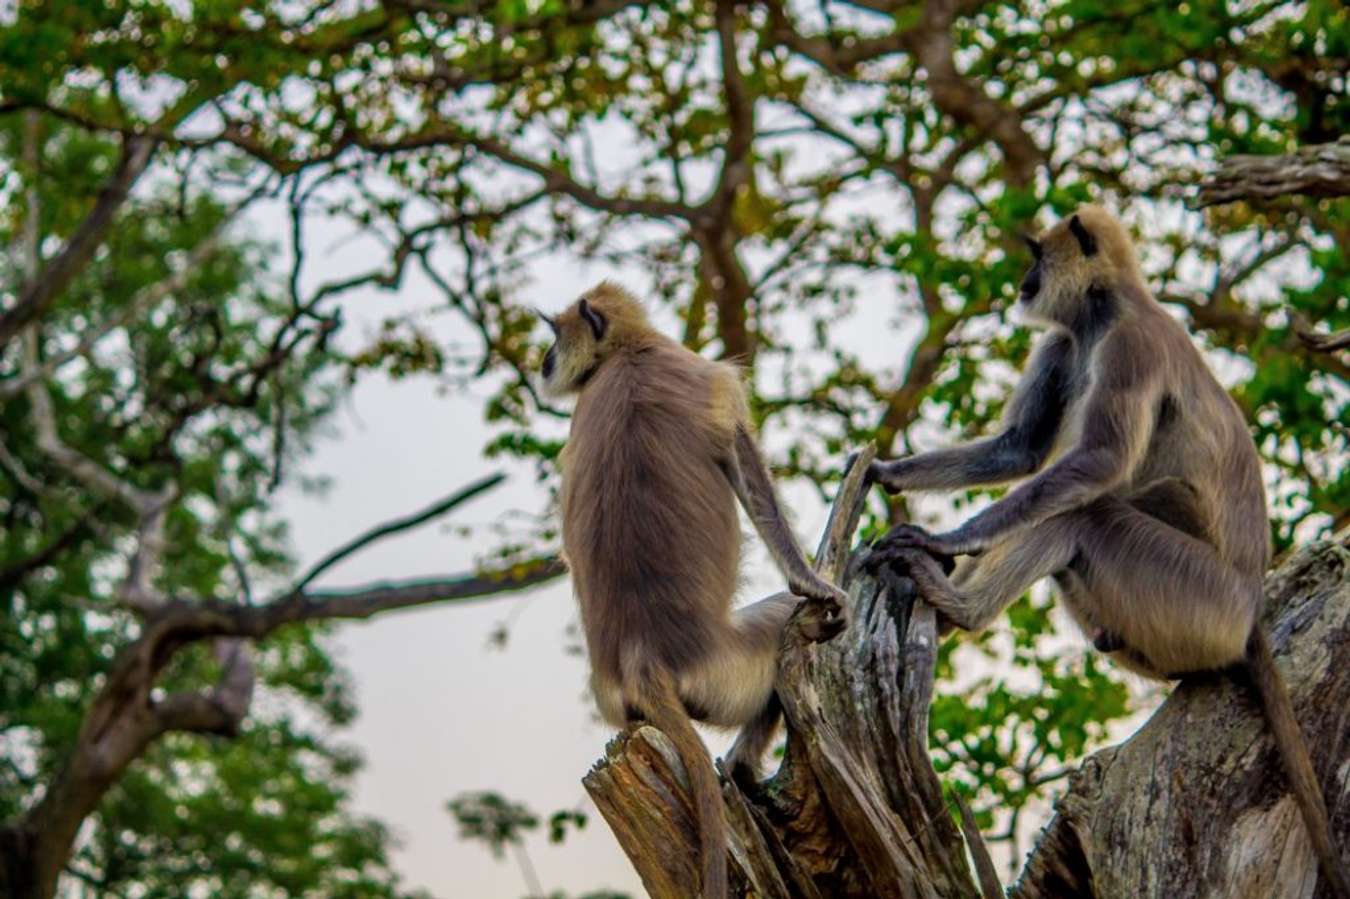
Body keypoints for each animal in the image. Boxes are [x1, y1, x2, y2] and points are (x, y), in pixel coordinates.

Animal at [537, 282, 842, 896]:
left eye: (555, 334)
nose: (544, 361)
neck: (629, 353)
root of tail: (645, 660)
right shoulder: (712, 378)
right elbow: (752, 480)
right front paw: (811, 580)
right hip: (731, 668)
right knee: (786, 634)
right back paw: (743, 769)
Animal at [864, 205, 1350, 896]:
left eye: (1037, 256)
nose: (1024, 283)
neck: (1107, 311)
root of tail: (1250, 611)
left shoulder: (1130, 347)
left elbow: (1098, 462)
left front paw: (942, 538)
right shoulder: (1064, 343)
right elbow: (1018, 450)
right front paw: (884, 472)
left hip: (1195, 597)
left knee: (1085, 514)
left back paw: (957, 605)